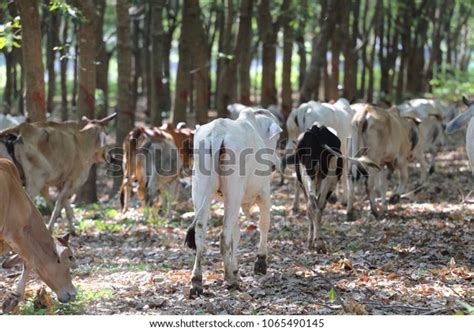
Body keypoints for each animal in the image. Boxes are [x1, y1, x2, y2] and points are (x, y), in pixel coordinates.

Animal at [184, 107, 282, 296]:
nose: (275, 164)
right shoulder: (264, 193)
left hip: (201, 191)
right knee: (223, 236)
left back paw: (197, 281)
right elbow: (264, 224)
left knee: (201, 233)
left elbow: (236, 235)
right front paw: (260, 262)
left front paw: (235, 268)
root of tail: (218, 132)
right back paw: (230, 280)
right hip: (234, 191)